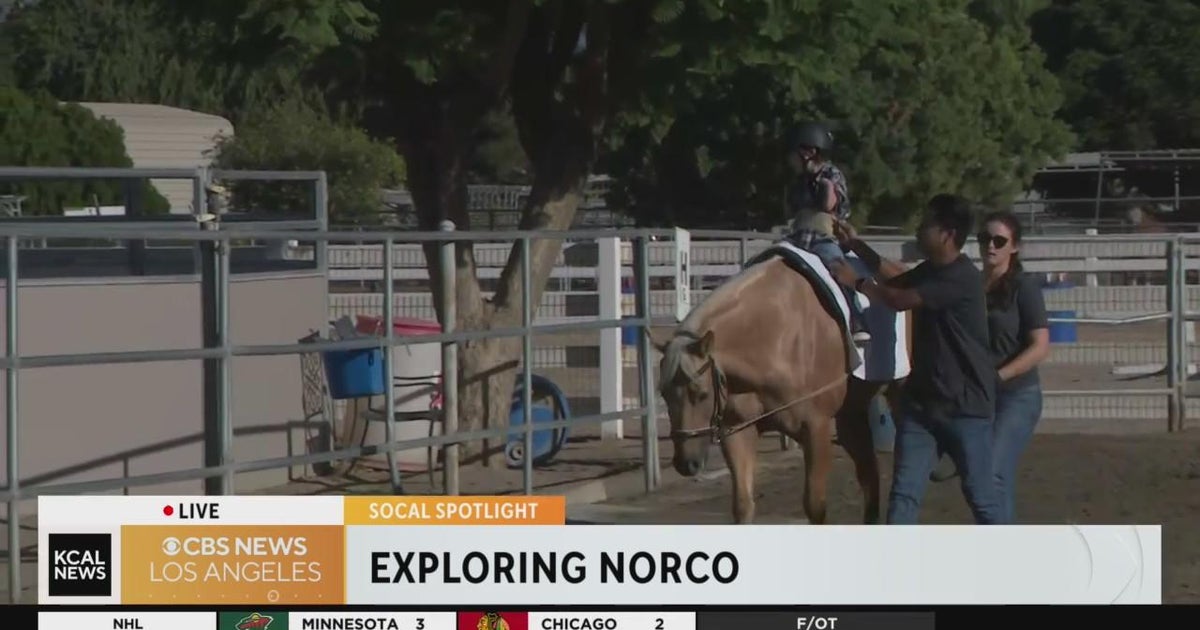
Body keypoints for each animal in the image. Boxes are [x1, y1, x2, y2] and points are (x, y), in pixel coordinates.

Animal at [650, 246, 912, 524]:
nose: (685, 463)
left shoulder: (816, 428)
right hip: (850, 413)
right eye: (664, 395)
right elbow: (743, 506)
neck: (778, 335)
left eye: (701, 394)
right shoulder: (737, 430)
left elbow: (815, 506)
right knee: (869, 474)